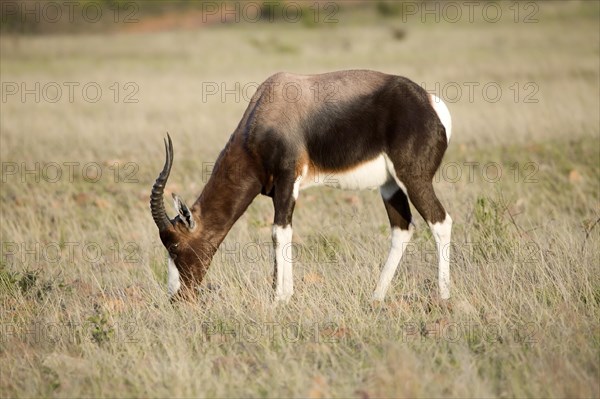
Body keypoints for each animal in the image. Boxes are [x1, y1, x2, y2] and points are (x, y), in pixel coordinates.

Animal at [149, 72, 450, 304]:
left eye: (174, 245)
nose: (177, 298)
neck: (267, 105)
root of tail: (429, 101)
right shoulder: (276, 190)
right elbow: (278, 234)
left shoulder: (287, 181)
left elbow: (279, 232)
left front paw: (280, 298)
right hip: (389, 185)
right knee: (402, 228)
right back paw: (376, 296)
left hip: (413, 178)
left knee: (440, 221)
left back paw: (443, 296)